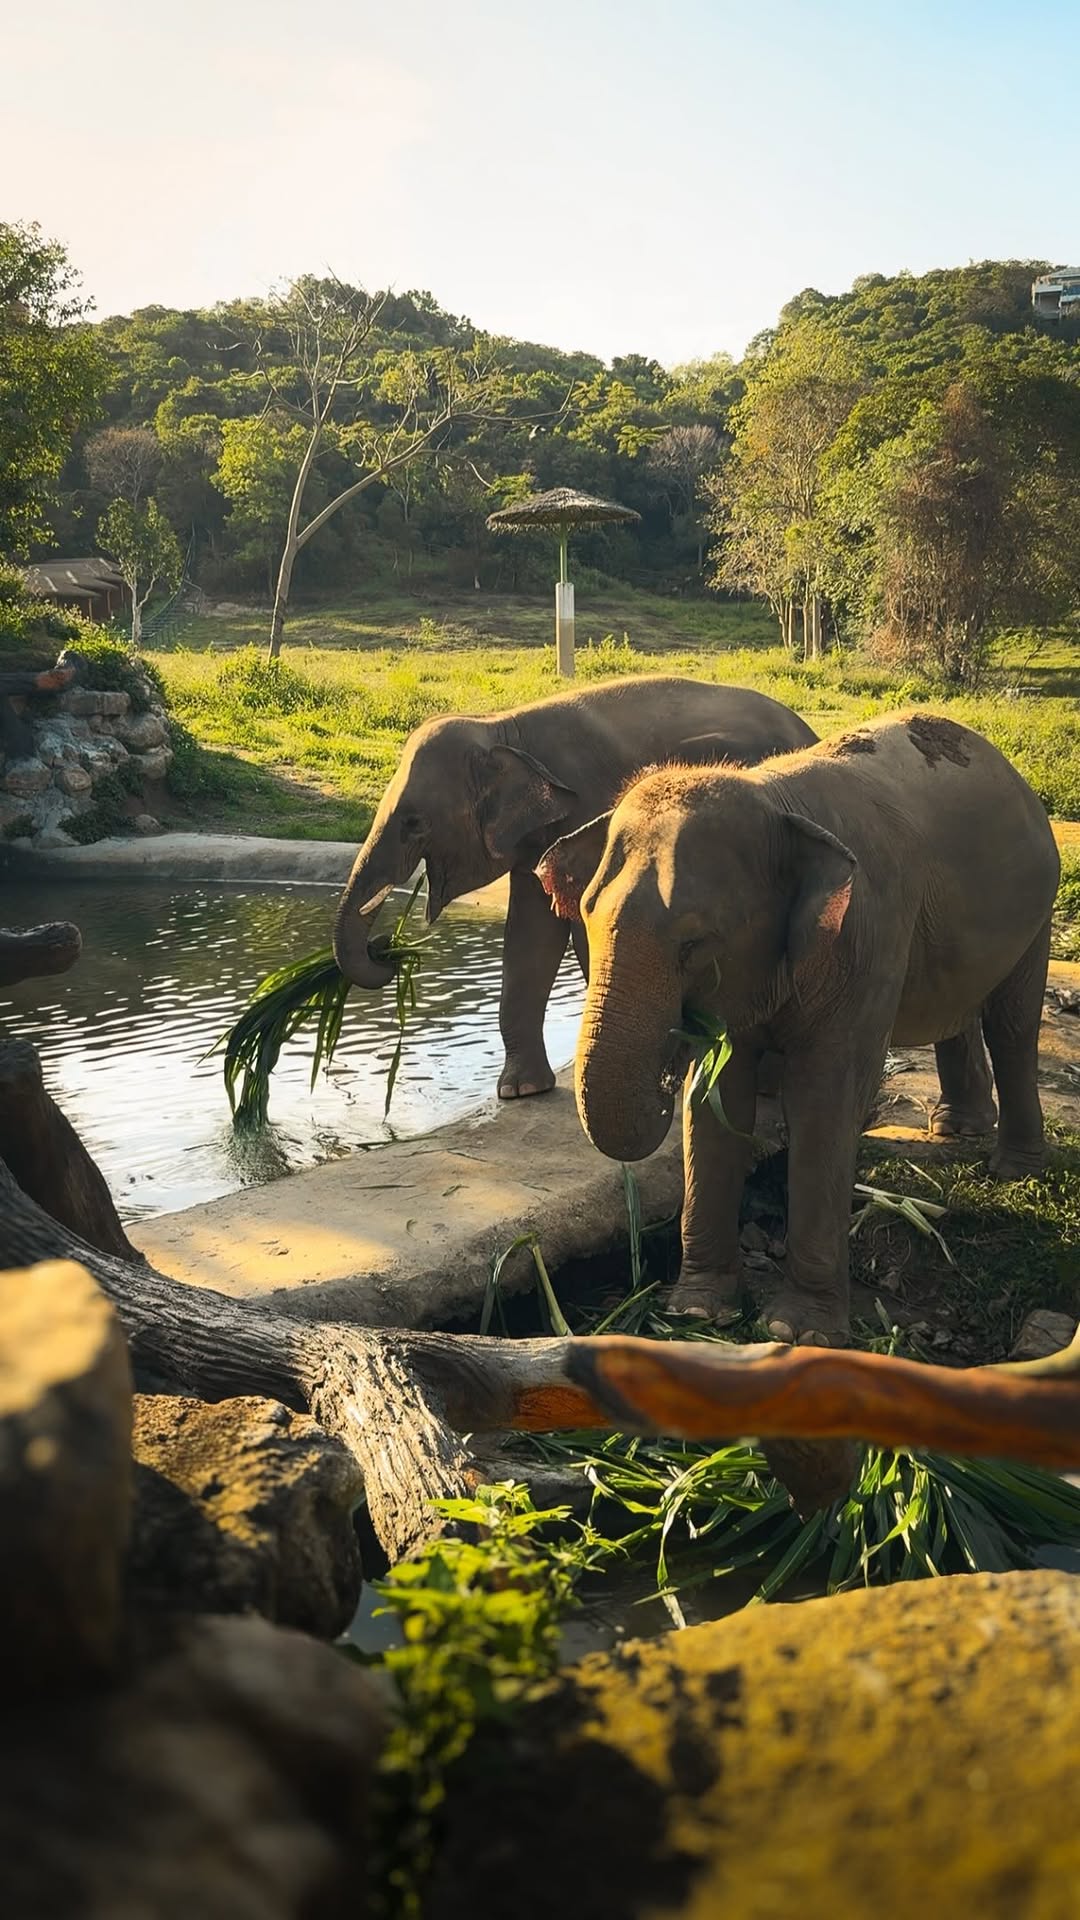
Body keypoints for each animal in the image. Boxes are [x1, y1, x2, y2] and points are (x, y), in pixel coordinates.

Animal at [332, 677, 818, 1099]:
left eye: (415, 824)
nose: (386, 948)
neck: (502, 727)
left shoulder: (589, 808)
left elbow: (588, 927)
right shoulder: (536, 838)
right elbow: (530, 937)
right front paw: (521, 1091)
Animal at [538, 712, 1060, 1344]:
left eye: (695, 942)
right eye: (585, 916)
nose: (665, 1067)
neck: (773, 797)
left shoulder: (866, 938)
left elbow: (823, 1098)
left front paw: (797, 1332)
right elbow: (715, 1100)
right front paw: (697, 1312)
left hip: (1039, 906)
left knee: (1012, 1024)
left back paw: (1013, 1166)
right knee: (956, 1012)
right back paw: (956, 1129)